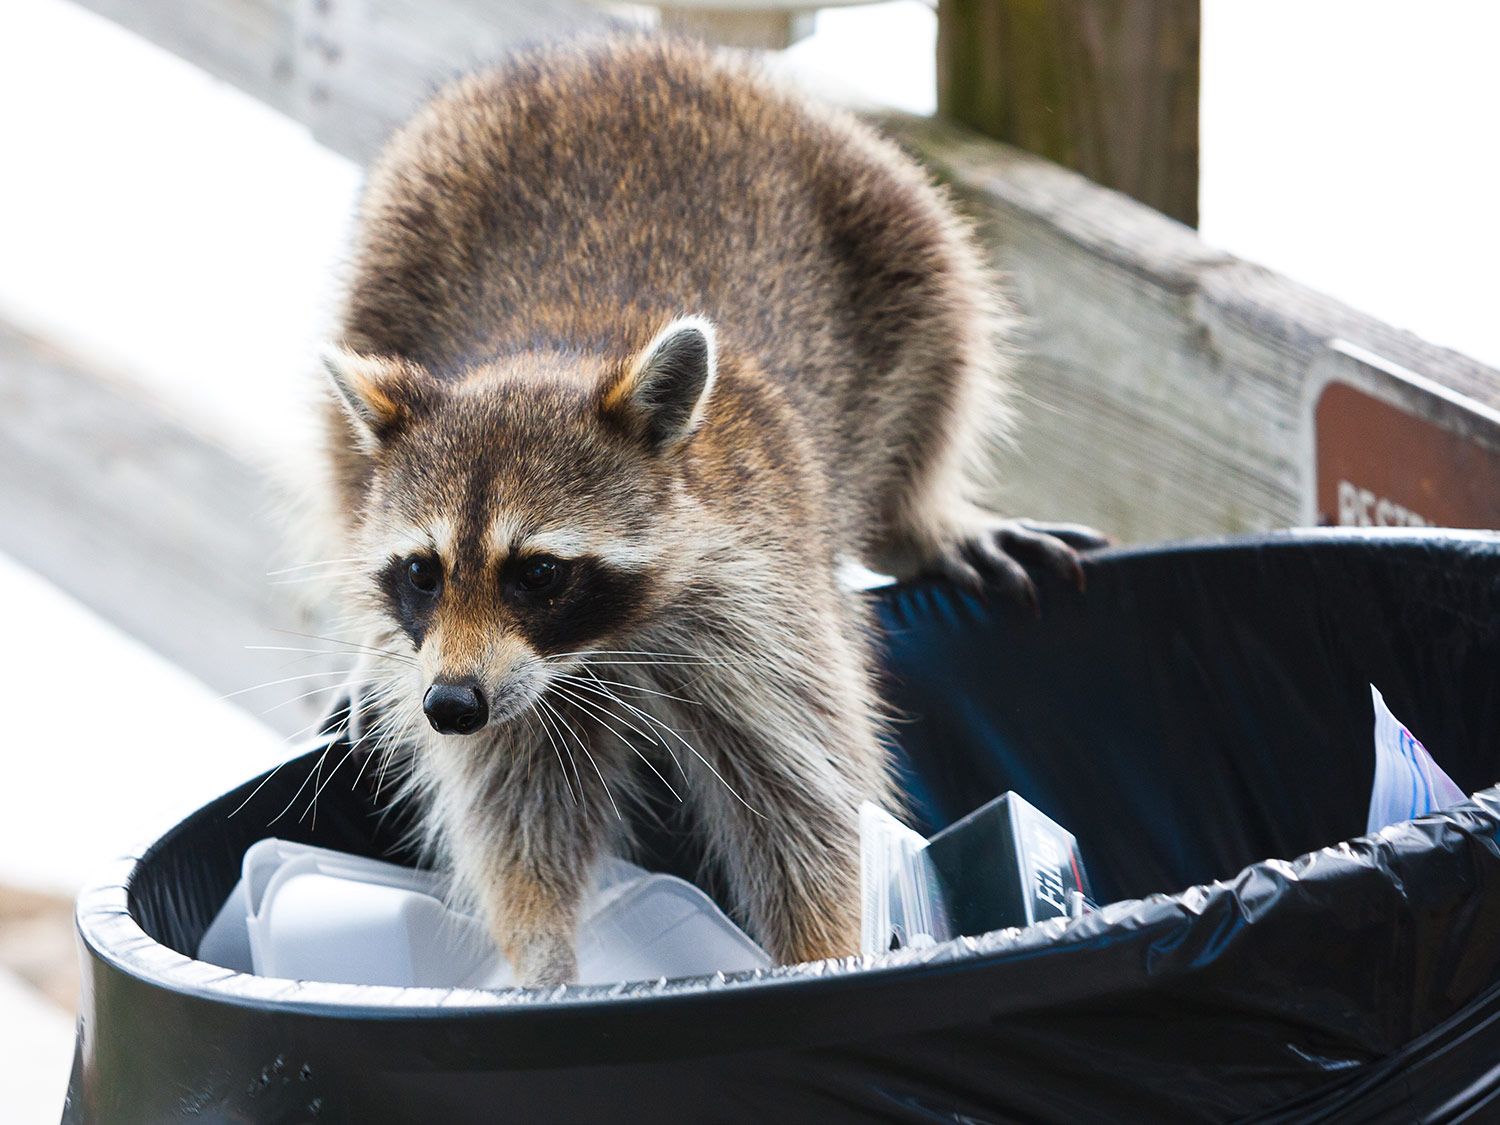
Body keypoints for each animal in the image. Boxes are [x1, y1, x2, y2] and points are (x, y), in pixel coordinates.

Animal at [322, 35, 1104, 984]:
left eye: (536, 572)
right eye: (422, 573)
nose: (449, 705)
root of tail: (616, 48)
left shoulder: (767, 605)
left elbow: (809, 801)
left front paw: (824, 952)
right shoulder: (499, 680)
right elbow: (515, 805)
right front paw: (543, 952)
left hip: (885, 217)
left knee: (943, 342)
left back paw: (922, 518)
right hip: (392, 250)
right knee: (339, 454)